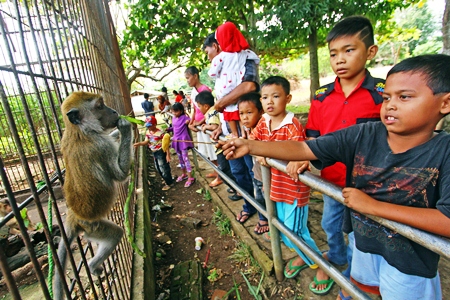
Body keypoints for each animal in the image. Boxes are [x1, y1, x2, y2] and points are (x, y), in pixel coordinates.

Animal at [53, 91, 133, 300]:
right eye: (99, 106)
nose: (114, 112)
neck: (80, 131)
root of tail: (74, 216)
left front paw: (117, 132)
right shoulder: (100, 146)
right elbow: (120, 174)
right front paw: (125, 128)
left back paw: (92, 266)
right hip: (91, 226)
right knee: (115, 234)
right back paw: (93, 265)